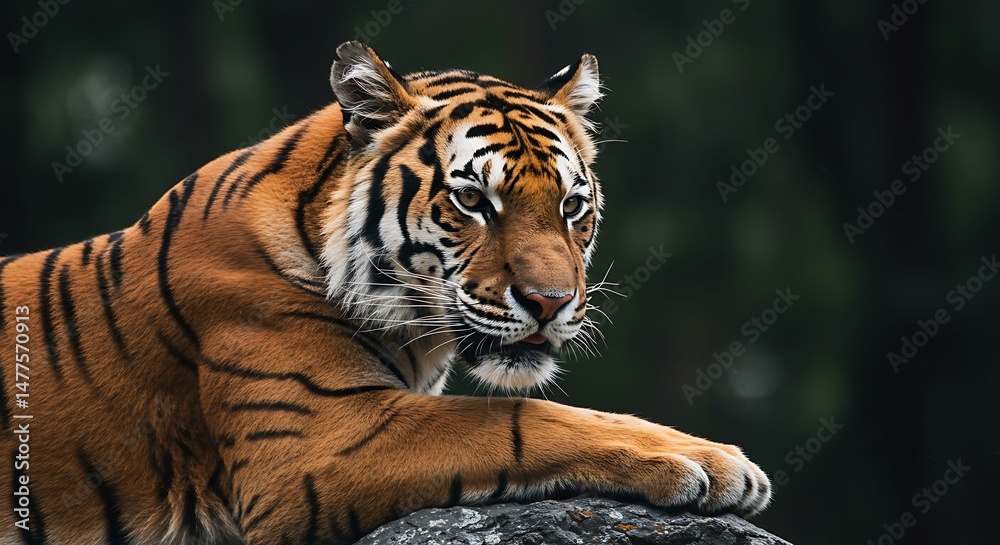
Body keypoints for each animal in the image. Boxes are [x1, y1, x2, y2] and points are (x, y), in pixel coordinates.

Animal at [0, 41, 771, 544]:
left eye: (572, 206)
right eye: (473, 200)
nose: (550, 302)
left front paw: (717, 459)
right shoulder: (314, 447)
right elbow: (517, 417)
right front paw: (699, 463)